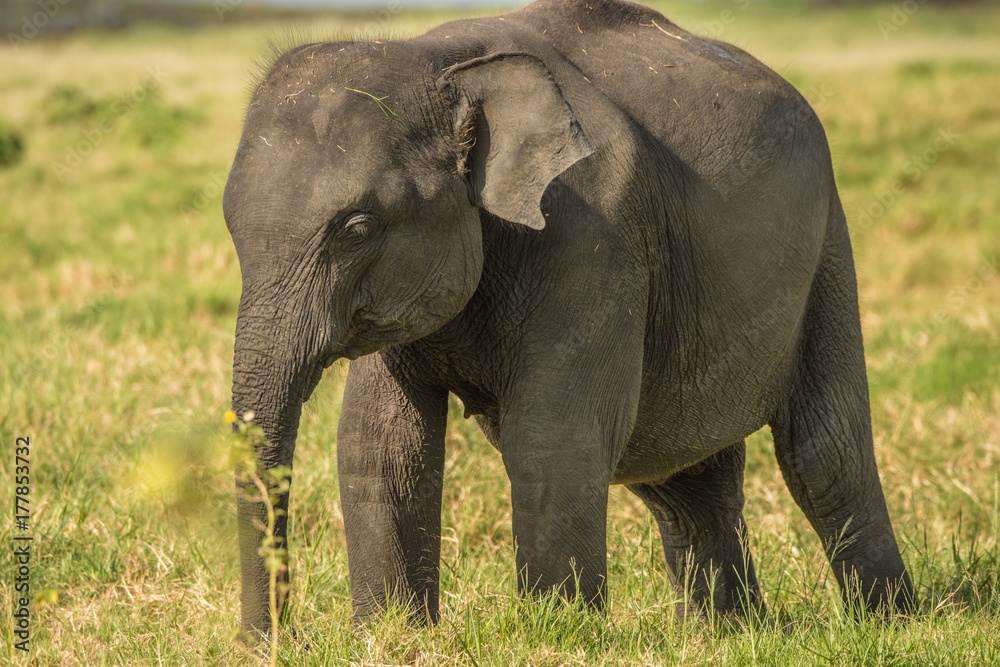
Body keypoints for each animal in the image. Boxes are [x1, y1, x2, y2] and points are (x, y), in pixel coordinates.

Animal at [223, 0, 913, 634]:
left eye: (357, 227)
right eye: (230, 225)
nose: (279, 640)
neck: (439, 62)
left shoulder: (594, 230)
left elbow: (551, 436)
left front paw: (555, 635)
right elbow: (383, 443)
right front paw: (391, 635)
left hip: (827, 249)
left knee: (823, 451)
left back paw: (890, 623)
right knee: (684, 477)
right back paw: (726, 633)